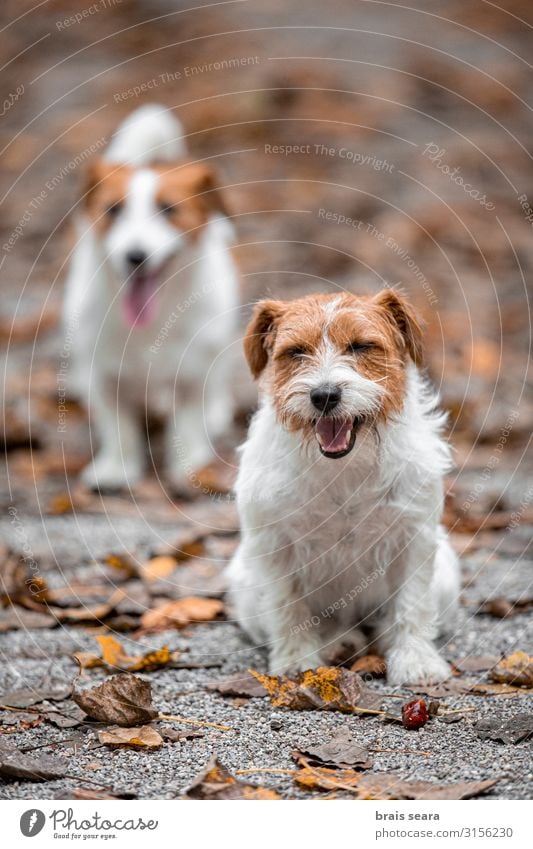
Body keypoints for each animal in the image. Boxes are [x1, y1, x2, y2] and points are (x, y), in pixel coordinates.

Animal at [227, 290, 460, 684]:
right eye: (296, 352)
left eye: (361, 346)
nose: (324, 395)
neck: (343, 468)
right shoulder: (276, 546)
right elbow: (287, 606)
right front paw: (296, 660)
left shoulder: (412, 539)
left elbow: (412, 604)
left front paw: (415, 661)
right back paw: (339, 642)